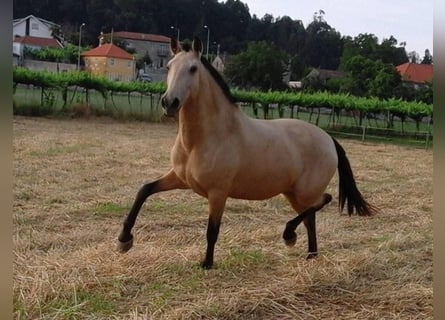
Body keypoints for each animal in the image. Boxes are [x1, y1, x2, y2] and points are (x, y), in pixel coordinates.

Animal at [116, 36, 376, 268]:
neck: (206, 139)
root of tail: (329, 139)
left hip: (304, 191)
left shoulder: (218, 193)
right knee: (310, 217)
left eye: (193, 69)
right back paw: (309, 253)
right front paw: (124, 241)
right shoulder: (180, 179)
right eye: (169, 66)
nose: (169, 103)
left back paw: (289, 235)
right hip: (292, 193)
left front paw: (207, 264)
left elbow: (212, 230)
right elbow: (144, 190)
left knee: (324, 200)